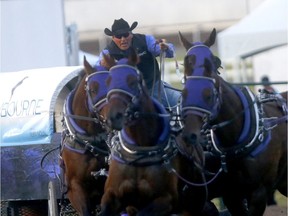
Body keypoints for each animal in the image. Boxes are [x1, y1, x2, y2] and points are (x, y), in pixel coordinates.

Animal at [97, 49, 182, 216]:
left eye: (132, 81)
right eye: (108, 81)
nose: (114, 117)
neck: (139, 151)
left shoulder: (166, 200)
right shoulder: (112, 195)